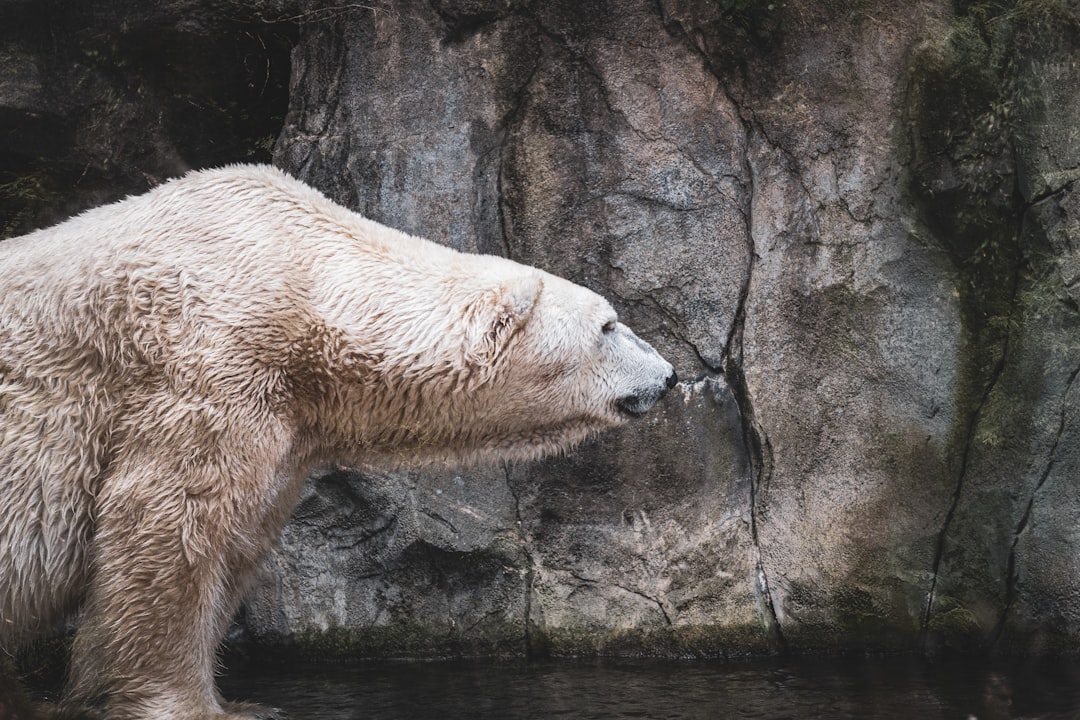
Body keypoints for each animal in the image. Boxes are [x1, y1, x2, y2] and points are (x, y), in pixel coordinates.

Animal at [0, 164, 677, 719]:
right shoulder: (205, 367)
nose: (669, 376)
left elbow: (237, 536)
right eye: (608, 325)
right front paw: (200, 707)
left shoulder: (286, 429)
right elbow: (167, 523)